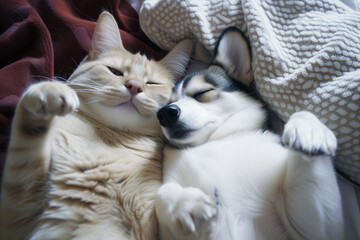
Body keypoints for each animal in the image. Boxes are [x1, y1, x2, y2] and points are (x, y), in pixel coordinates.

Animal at [156, 27, 344, 239]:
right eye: (166, 103)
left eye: (202, 93)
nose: (164, 113)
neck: (217, 140)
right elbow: (161, 191)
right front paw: (186, 204)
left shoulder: (314, 229)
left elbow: (302, 113)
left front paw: (309, 131)